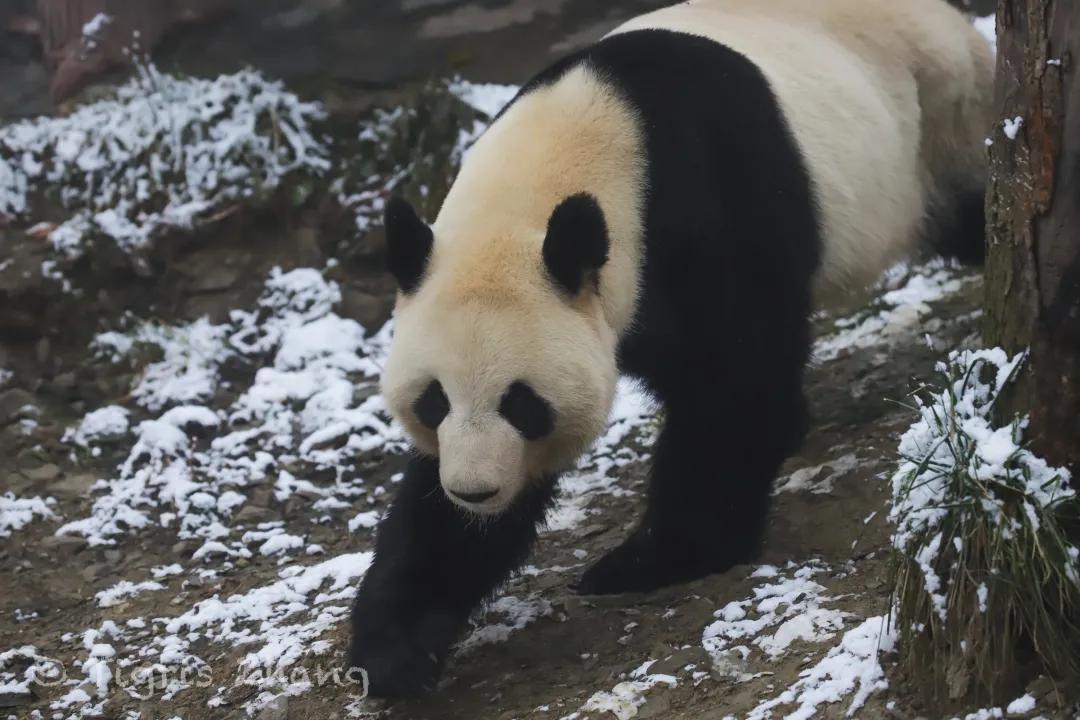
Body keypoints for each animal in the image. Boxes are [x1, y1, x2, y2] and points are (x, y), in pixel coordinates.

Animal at [349, 0, 989, 699]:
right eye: (433, 402)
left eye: (521, 403)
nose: (475, 492)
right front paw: (395, 648)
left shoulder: (706, 206)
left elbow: (733, 388)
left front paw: (649, 558)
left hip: (942, 122)